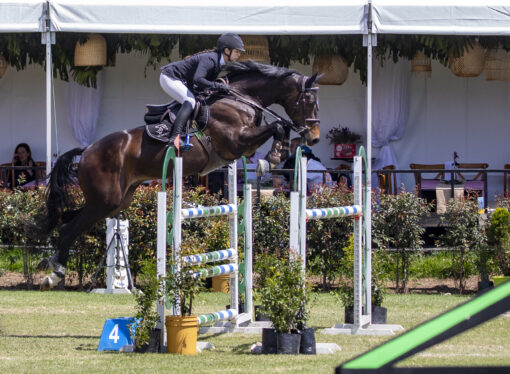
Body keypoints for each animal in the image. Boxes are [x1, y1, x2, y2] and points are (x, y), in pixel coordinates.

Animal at [35, 61, 320, 290]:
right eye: (309, 101)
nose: (314, 137)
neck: (240, 99)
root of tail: (87, 150)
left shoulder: (241, 146)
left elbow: (279, 127)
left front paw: (272, 157)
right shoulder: (235, 141)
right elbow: (277, 126)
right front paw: (271, 158)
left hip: (115, 201)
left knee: (67, 219)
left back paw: (52, 263)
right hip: (104, 201)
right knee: (69, 227)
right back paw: (55, 273)